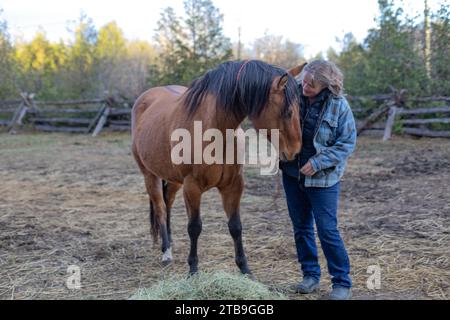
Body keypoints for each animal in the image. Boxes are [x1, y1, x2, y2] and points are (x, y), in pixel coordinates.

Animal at [130, 60, 306, 278]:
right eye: (288, 112)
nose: (295, 151)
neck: (214, 129)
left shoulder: (233, 185)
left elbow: (235, 226)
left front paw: (245, 270)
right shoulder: (192, 187)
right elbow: (194, 227)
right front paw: (193, 271)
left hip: (172, 179)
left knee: (168, 202)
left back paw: (169, 242)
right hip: (150, 176)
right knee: (161, 208)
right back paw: (166, 252)